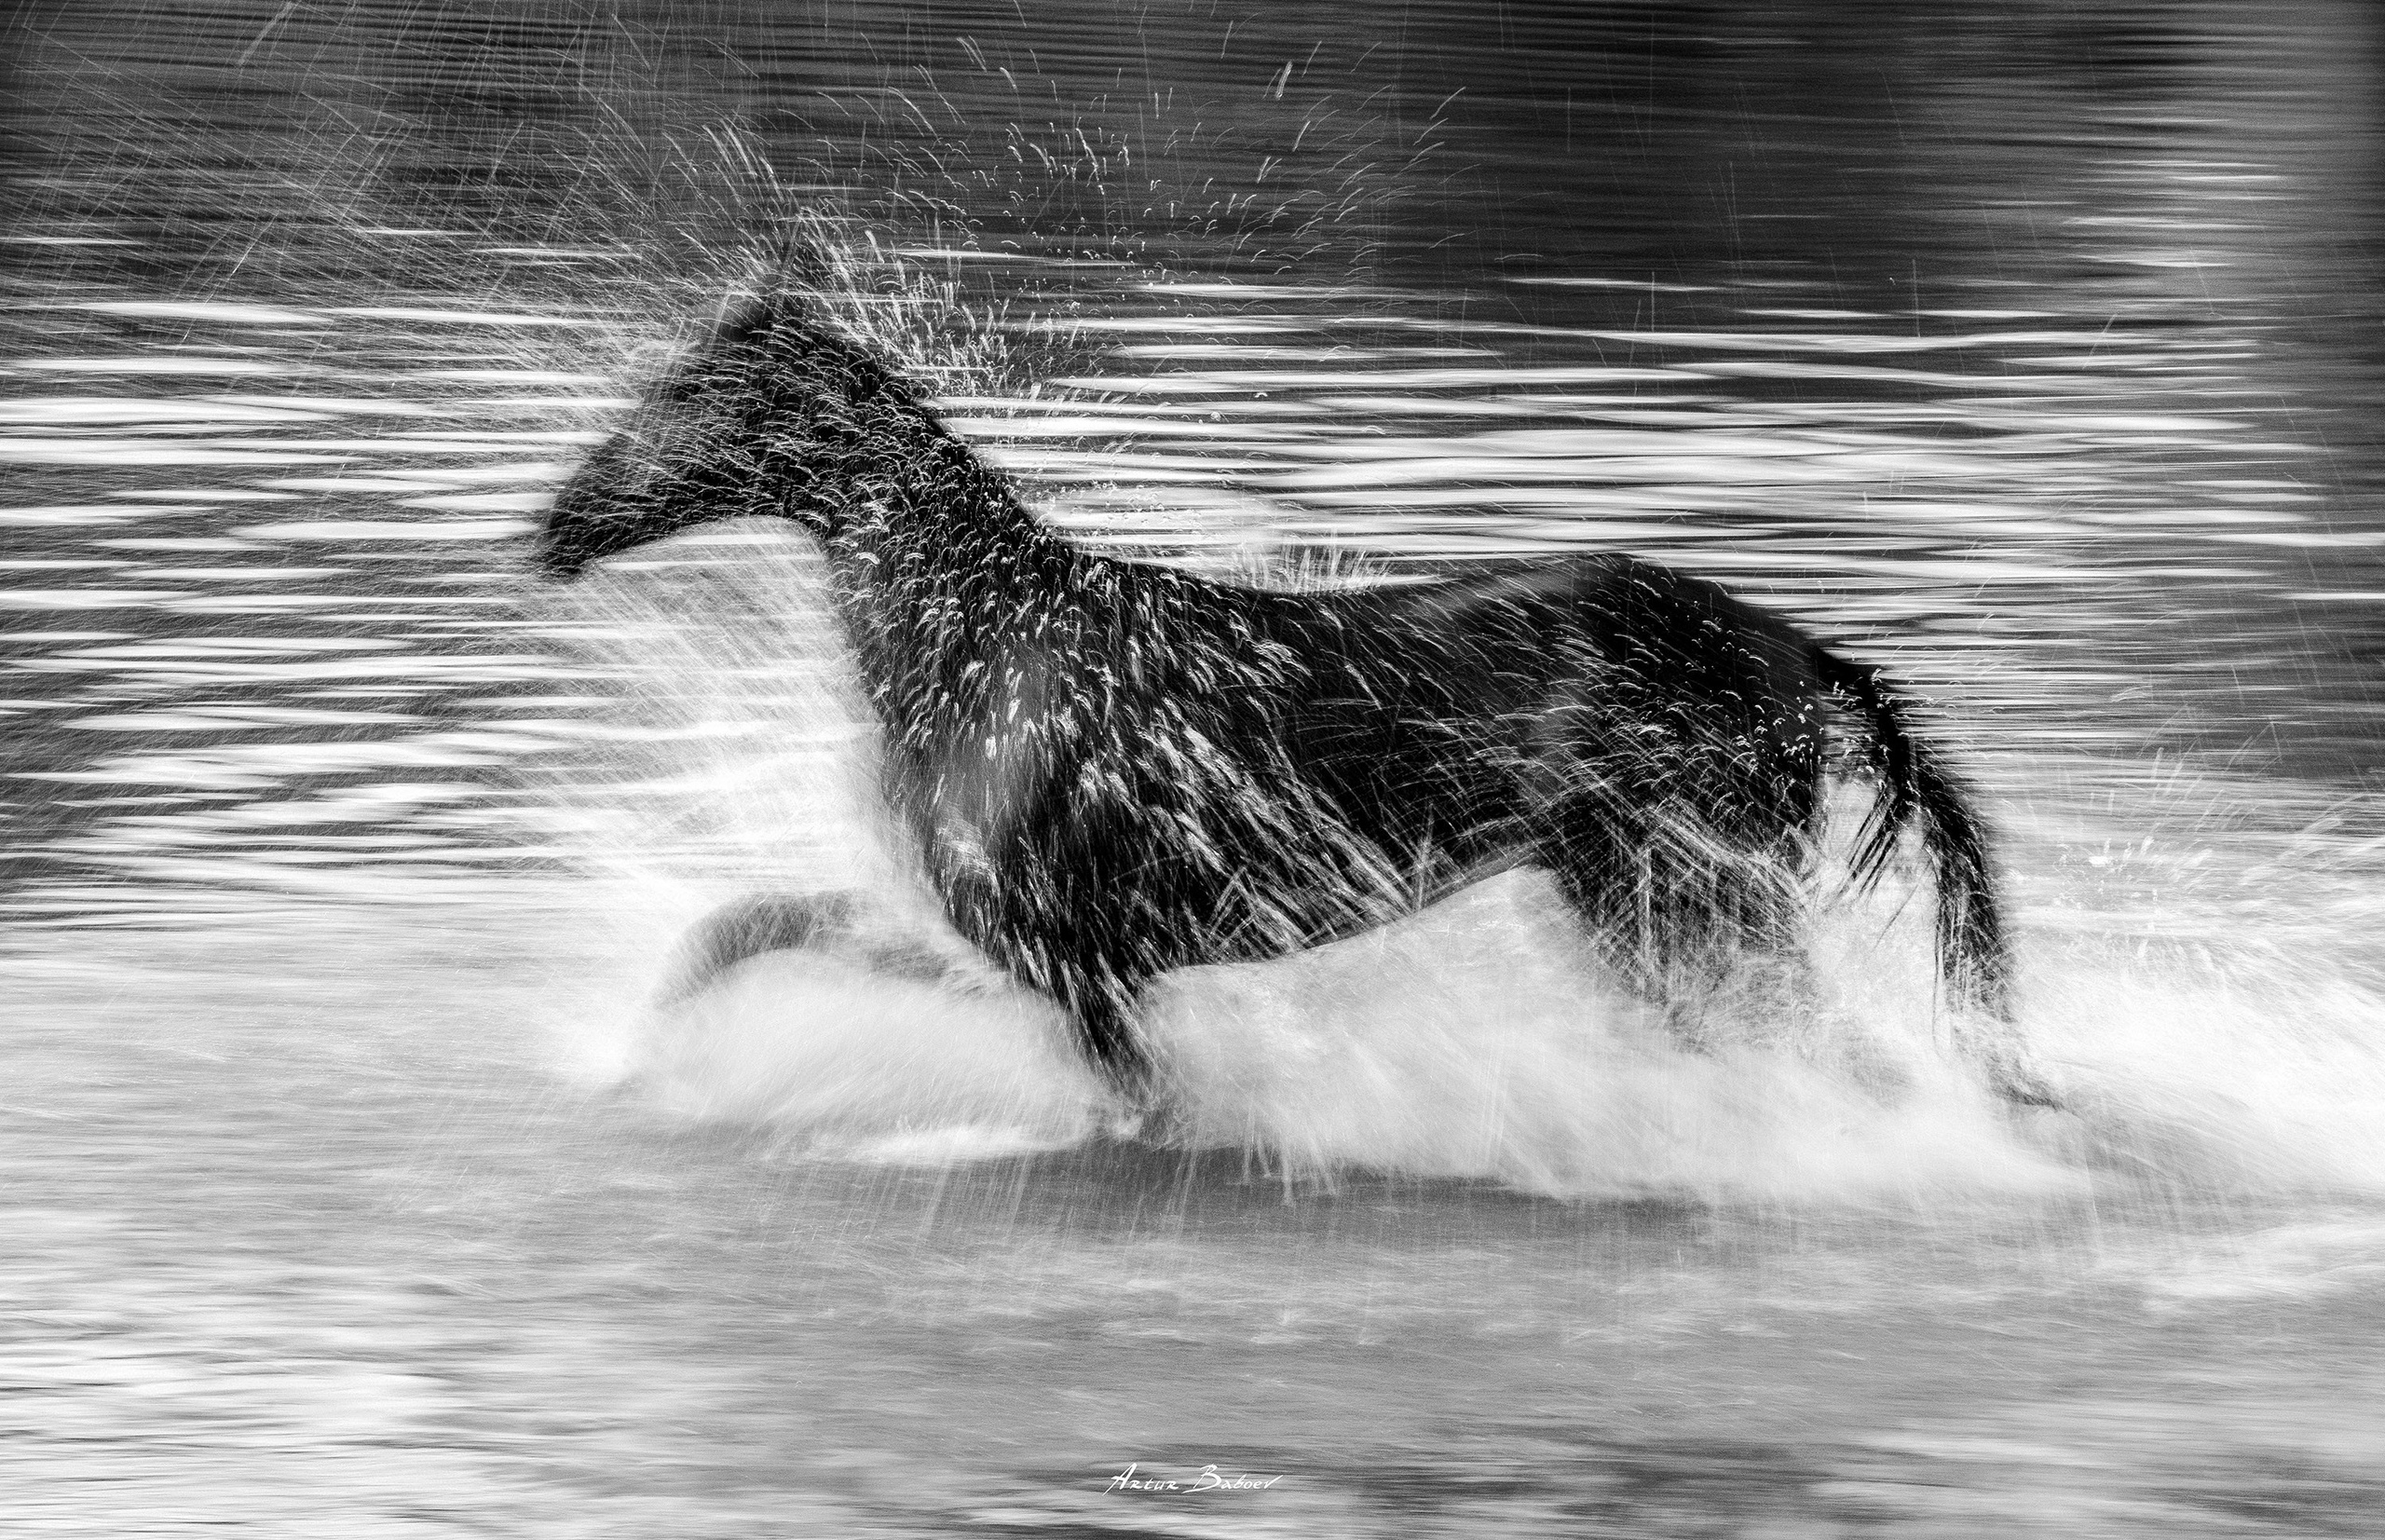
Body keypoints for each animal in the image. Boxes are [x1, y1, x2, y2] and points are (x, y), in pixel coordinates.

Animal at [537, 291, 2056, 1109]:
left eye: (681, 397)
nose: (548, 530)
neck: (975, 637)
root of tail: (1803, 656)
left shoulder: (1072, 969)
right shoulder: (988, 936)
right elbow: (733, 929)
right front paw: (627, 1059)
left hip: (1688, 909)